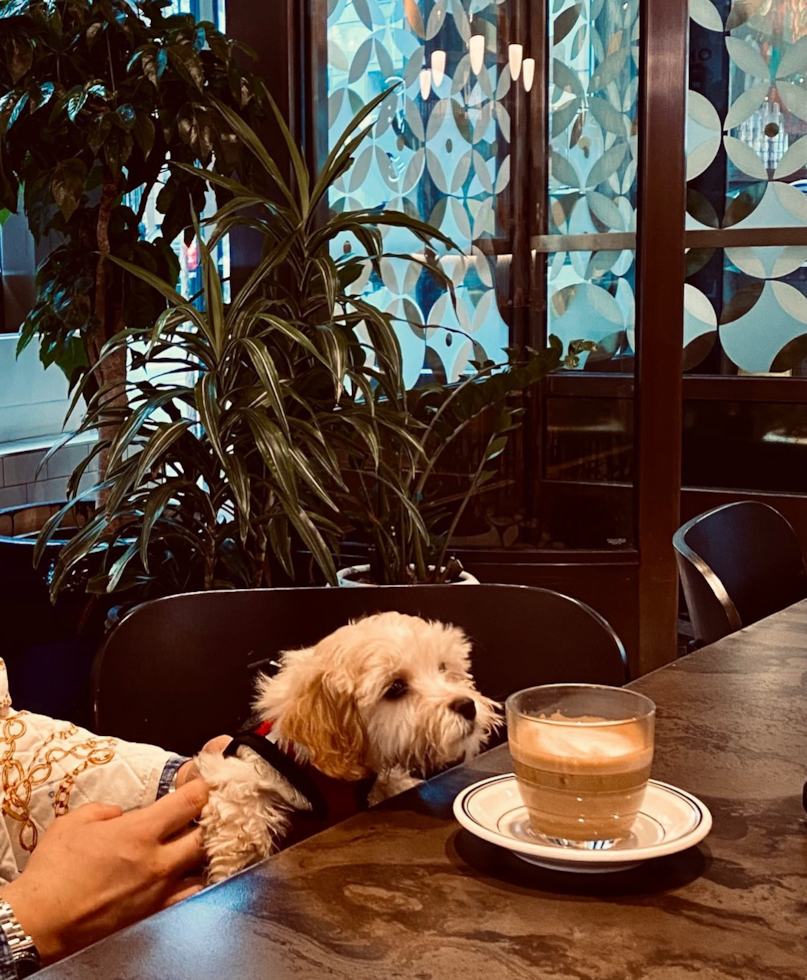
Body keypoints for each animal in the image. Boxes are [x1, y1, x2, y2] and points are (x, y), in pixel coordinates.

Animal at [197, 612, 498, 880]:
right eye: (396, 688)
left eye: (443, 668)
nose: (467, 706)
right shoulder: (248, 766)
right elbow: (240, 808)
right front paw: (236, 865)